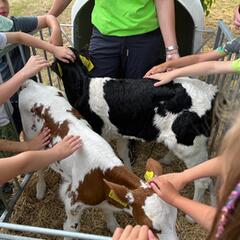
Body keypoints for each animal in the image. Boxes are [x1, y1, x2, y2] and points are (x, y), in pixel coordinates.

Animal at [19, 80, 178, 240]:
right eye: (153, 227)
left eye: (175, 215)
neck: (99, 173)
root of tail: (31, 83)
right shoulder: (72, 205)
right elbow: (69, 230)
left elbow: (108, 211)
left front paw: (112, 225)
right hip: (32, 138)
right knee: (37, 165)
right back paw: (40, 188)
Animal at [51, 51, 218, 204]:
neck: (83, 87)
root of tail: (211, 91)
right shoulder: (120, 132)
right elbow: (123, 153)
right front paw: (129, 173)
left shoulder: (96, 130)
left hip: (191, 147)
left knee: (203, 181)